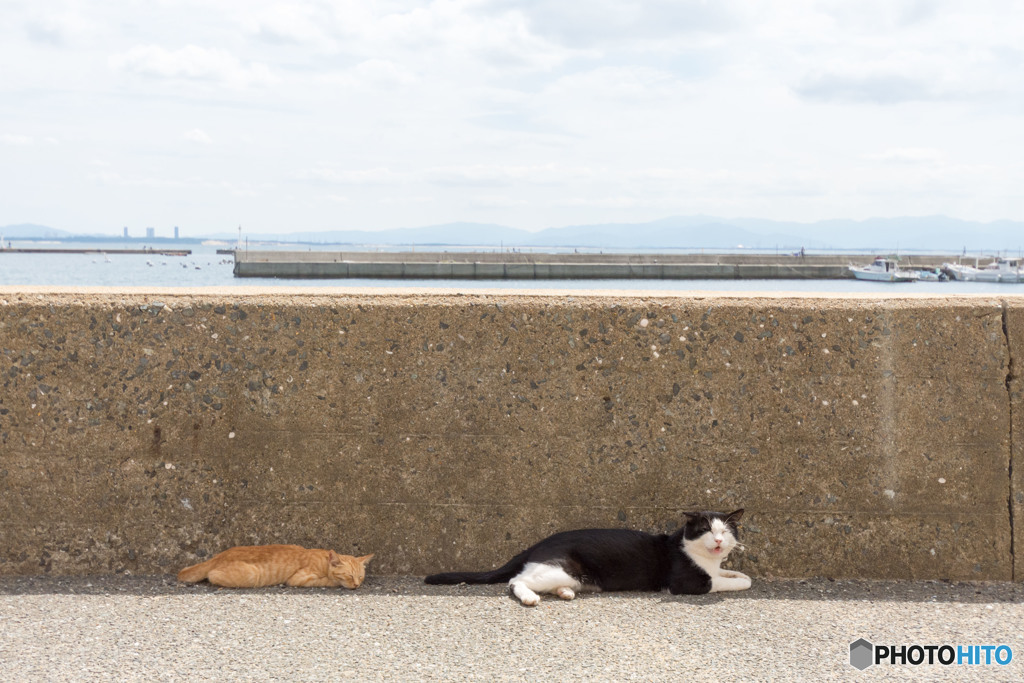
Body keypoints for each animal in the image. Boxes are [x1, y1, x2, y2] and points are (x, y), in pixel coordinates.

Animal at [419, 509, 749, 606]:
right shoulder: (687, 583)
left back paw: (565, 593)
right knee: (516, 580)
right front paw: (739, 583)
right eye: (705, 530)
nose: (719, 541)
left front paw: (739, 573)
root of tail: (540, 543)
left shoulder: (714, 568)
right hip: (561, 568)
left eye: (725, 530)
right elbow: (722, 583)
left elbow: (732, 575)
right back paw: (530, 597)